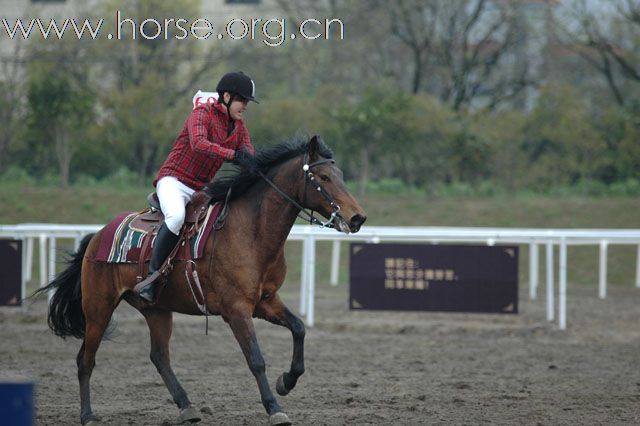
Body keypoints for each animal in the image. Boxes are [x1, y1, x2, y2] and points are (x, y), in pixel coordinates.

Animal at [36, 137, 364, 426]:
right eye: (324, 177)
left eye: (340, 175)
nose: (357, 217)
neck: (250, 231)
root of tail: (97, 236)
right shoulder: (236, 310)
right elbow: (256, 359)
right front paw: (274, 408)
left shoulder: (265, 301)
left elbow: (299, 328)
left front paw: (287, 381)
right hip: (98, 309)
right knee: (85, 360)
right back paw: (88, 415)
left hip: (157, 310)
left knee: (159, 357)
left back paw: (187, 407)